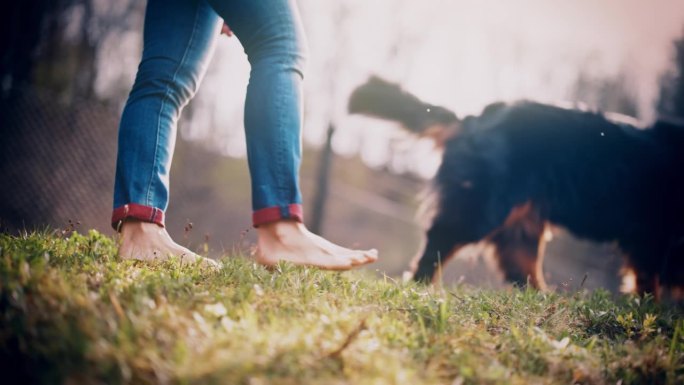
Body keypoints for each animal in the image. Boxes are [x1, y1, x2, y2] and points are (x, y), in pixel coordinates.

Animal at [350, 76, 684, 296]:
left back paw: (544, 300)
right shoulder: (652, 235)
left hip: (521, 222)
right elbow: (649, 280)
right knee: (439, 242)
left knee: (518, 268)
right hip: (482, 207)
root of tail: (474, 118)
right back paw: (423, 285)